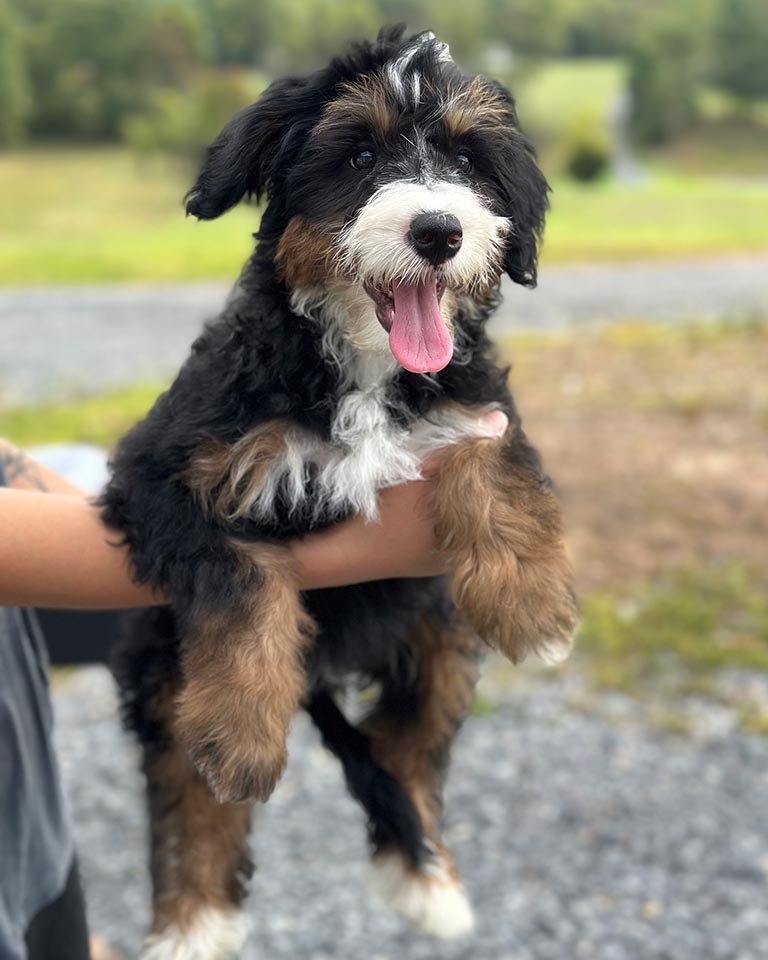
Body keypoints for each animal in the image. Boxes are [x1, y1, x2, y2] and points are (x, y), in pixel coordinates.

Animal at [103, 26, 584, 956]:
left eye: (467, 161)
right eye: (359, 154)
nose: (439, 231)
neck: (362, 369)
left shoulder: (473, 401)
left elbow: (488, 456)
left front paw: (532, 602)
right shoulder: (158, 472)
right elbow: (242, 576)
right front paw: (245, 731)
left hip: (436, 629)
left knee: (411, 748)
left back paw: (425, 871)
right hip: (159, 657)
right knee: (186, 788)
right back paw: (193, 917)